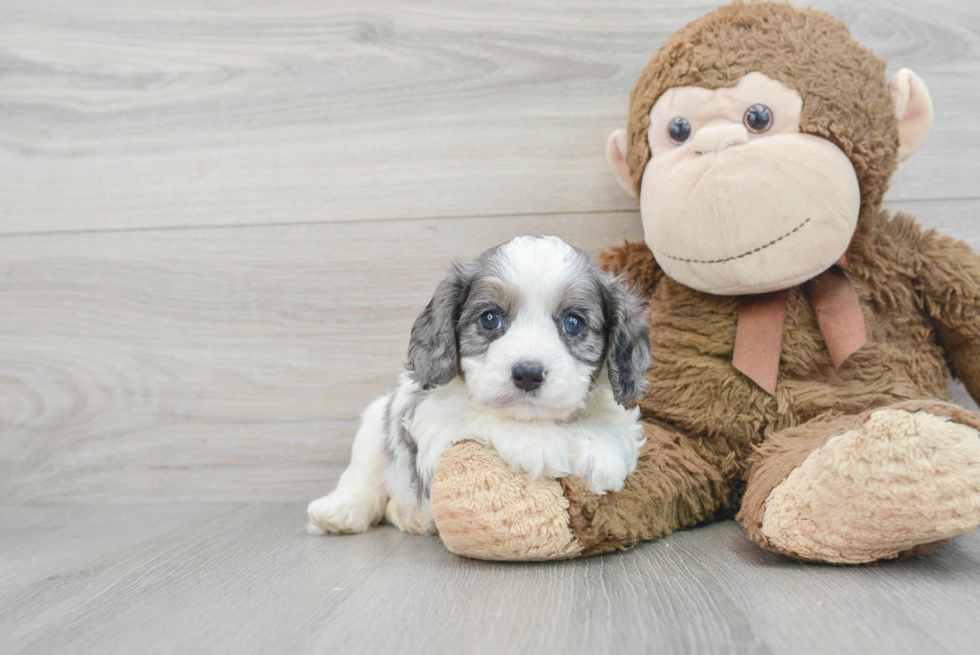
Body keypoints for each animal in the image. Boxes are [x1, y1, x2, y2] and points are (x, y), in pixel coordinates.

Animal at [310, 236, 656, 540]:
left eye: (574, 323)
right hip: (374, 425)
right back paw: (341, 511)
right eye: (490, 319)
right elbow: (482, 414)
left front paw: (601, 451)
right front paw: (538, 441)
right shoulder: (435, 417)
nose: (527, 374)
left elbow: (612, 425)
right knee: (362, 476)